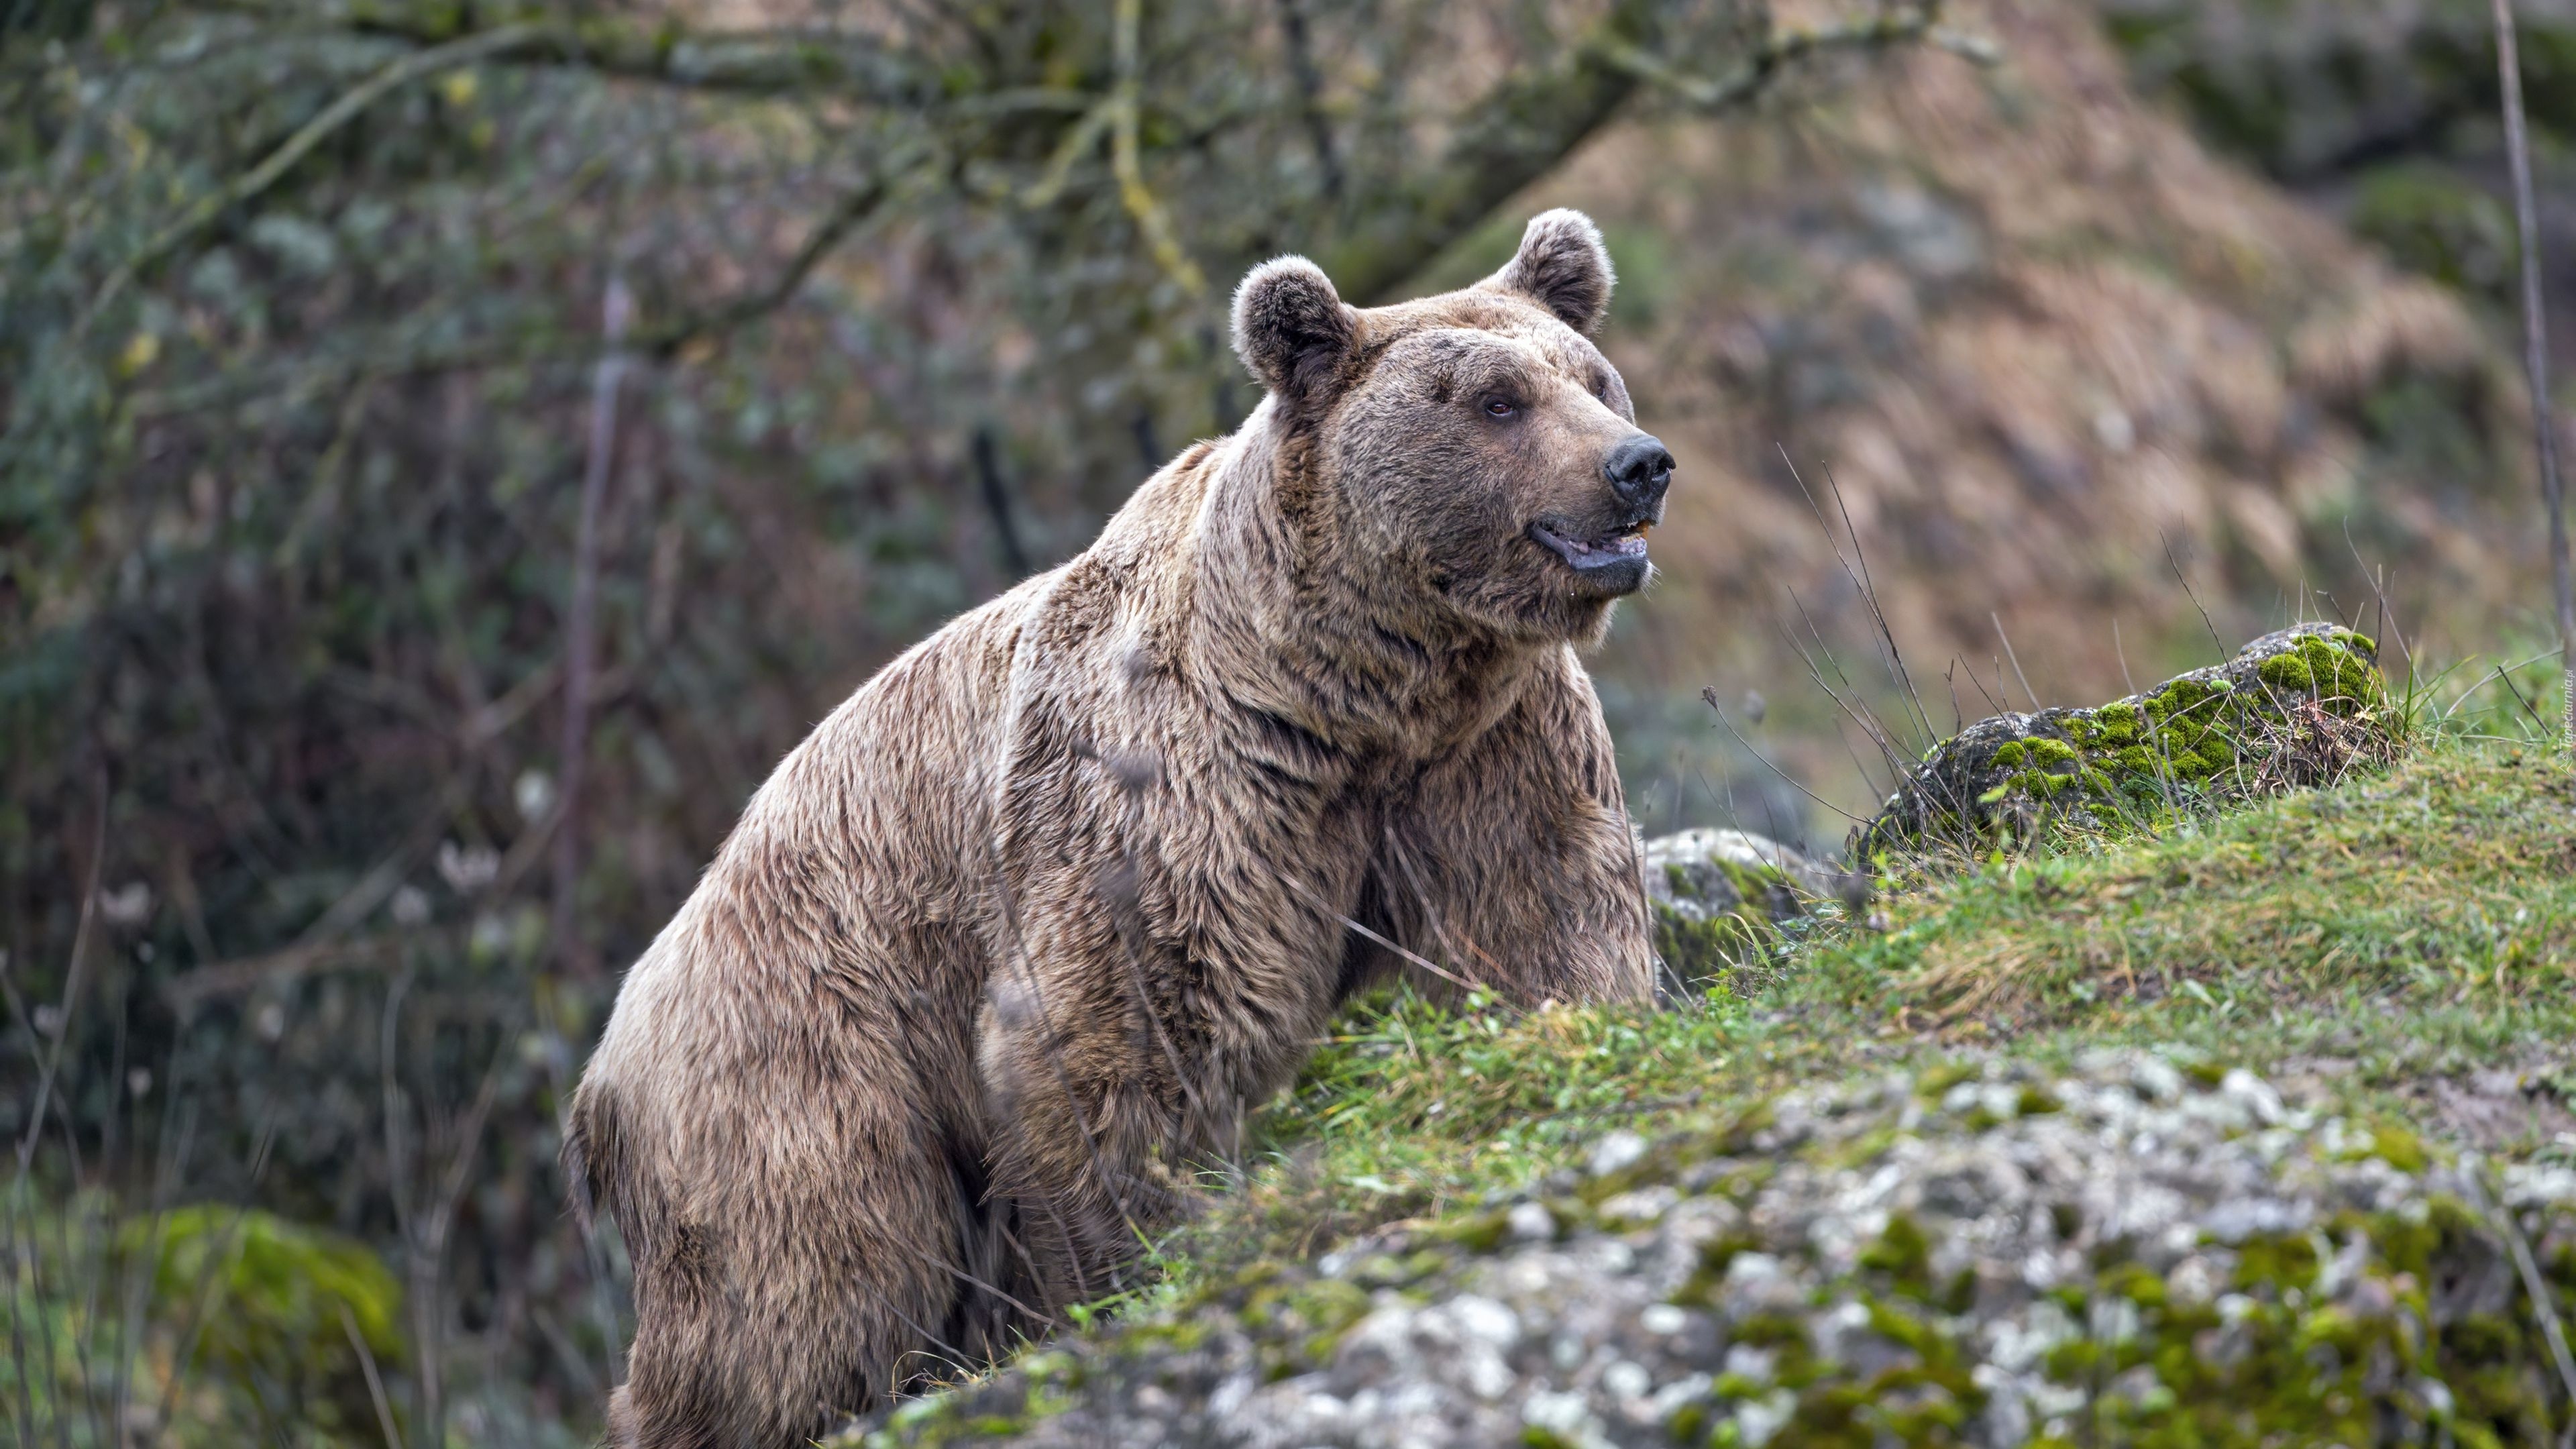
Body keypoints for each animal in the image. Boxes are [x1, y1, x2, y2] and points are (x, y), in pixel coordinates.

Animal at [564, 206, 1669, 1444]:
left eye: (1592, 378)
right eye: (1495, 400)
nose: (1637, 464)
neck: (1350, 691)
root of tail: (607, 1061)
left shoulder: (1483, 755)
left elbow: (1535, 922)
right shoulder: (1166, 791)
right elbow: (1131, 1028)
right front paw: (1149, 1249)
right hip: (805, 1050)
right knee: (812, 1282)